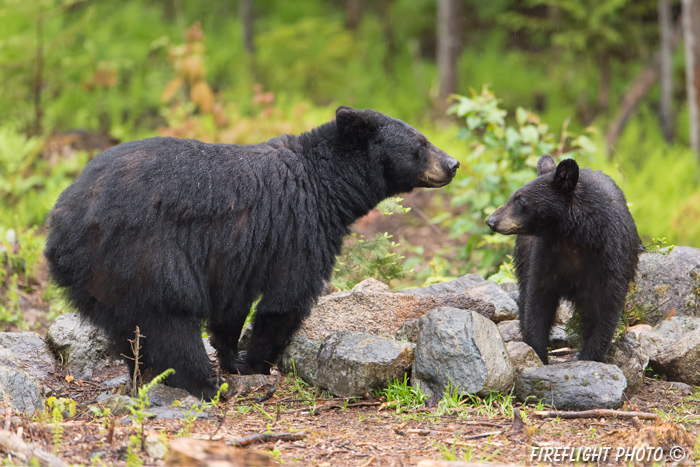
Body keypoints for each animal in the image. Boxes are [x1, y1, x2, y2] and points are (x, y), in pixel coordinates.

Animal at [45, 107, 460, 398]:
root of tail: (63, 220)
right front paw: (257, 363)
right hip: (146, 254)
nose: (453, 163)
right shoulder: (298, 228)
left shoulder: (241, 251)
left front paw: (232, 357)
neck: (323, 185)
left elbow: (232, 306)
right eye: (420, 144)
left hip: (102, 278)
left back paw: (145, 372)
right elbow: (286, 299)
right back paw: (206, 384)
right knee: (170, 321)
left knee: (128, 328)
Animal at [486, 155, 640, 364]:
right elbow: (537, 300)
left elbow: (604, 310)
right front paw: (538, 354)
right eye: (513, 196)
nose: (491, 220)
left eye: (521, 200)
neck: (574, 236)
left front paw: (590, 358)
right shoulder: (544, 255)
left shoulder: (611, 259)